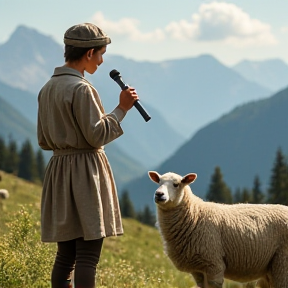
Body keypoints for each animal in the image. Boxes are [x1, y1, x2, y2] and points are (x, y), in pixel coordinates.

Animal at [148, 171, 288, 288]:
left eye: (176, 184)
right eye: (159, 182)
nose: (159, 194)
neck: (195, 214)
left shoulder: (213, 264)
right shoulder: (198, 270)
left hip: (283, 263)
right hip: (270, 270)